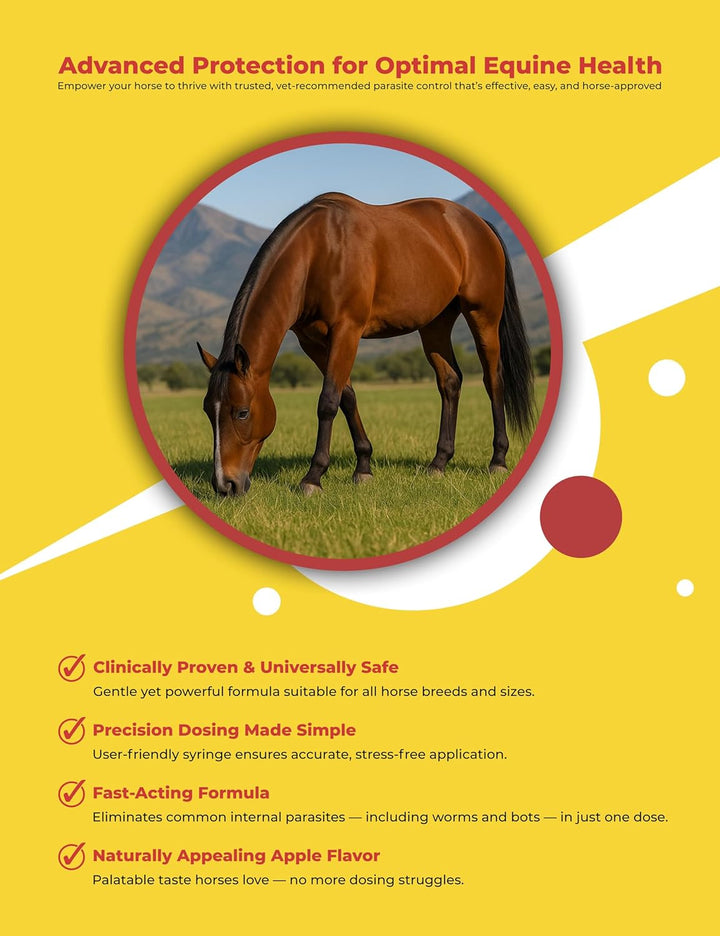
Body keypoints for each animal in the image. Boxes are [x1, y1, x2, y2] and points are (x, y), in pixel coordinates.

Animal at [197, 192, 535, 496]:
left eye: (242, 412)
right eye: (207, 411)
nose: (225, 485)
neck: (318, 252)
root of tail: (478, 224)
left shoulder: (347, 330)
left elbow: (328, 402)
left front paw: (313, 477)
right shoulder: (312, 341)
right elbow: (346, 396)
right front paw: (363, 467)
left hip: (484, 317)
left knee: (493, 380)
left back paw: (498, 460)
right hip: (435, 324)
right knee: (450, 381)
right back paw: (438, 463)